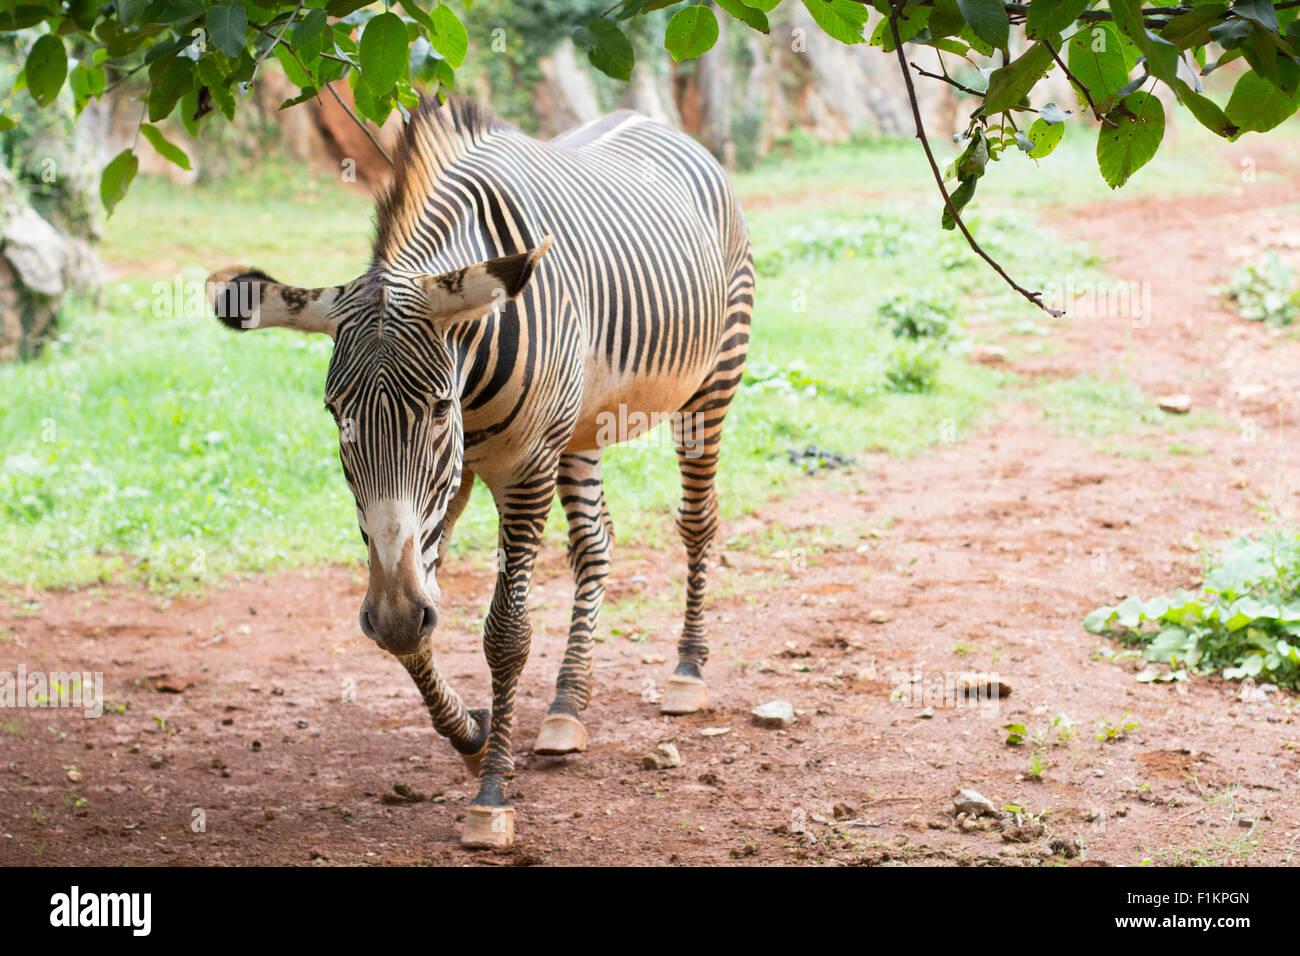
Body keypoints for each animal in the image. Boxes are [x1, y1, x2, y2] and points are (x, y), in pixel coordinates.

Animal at [207, 97, 754, 848]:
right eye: (334, 413)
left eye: (437, 407)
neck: (471, 368)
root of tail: (650, 119)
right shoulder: (445, 487)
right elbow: (415, 620)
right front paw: (472, 733)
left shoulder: (521, 470)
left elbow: (504, 633)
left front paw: (492, 794)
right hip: (579, 428)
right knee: (596, 544)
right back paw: (566, 707)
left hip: (711, 385)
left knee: (697, 522)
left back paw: (687, 670)